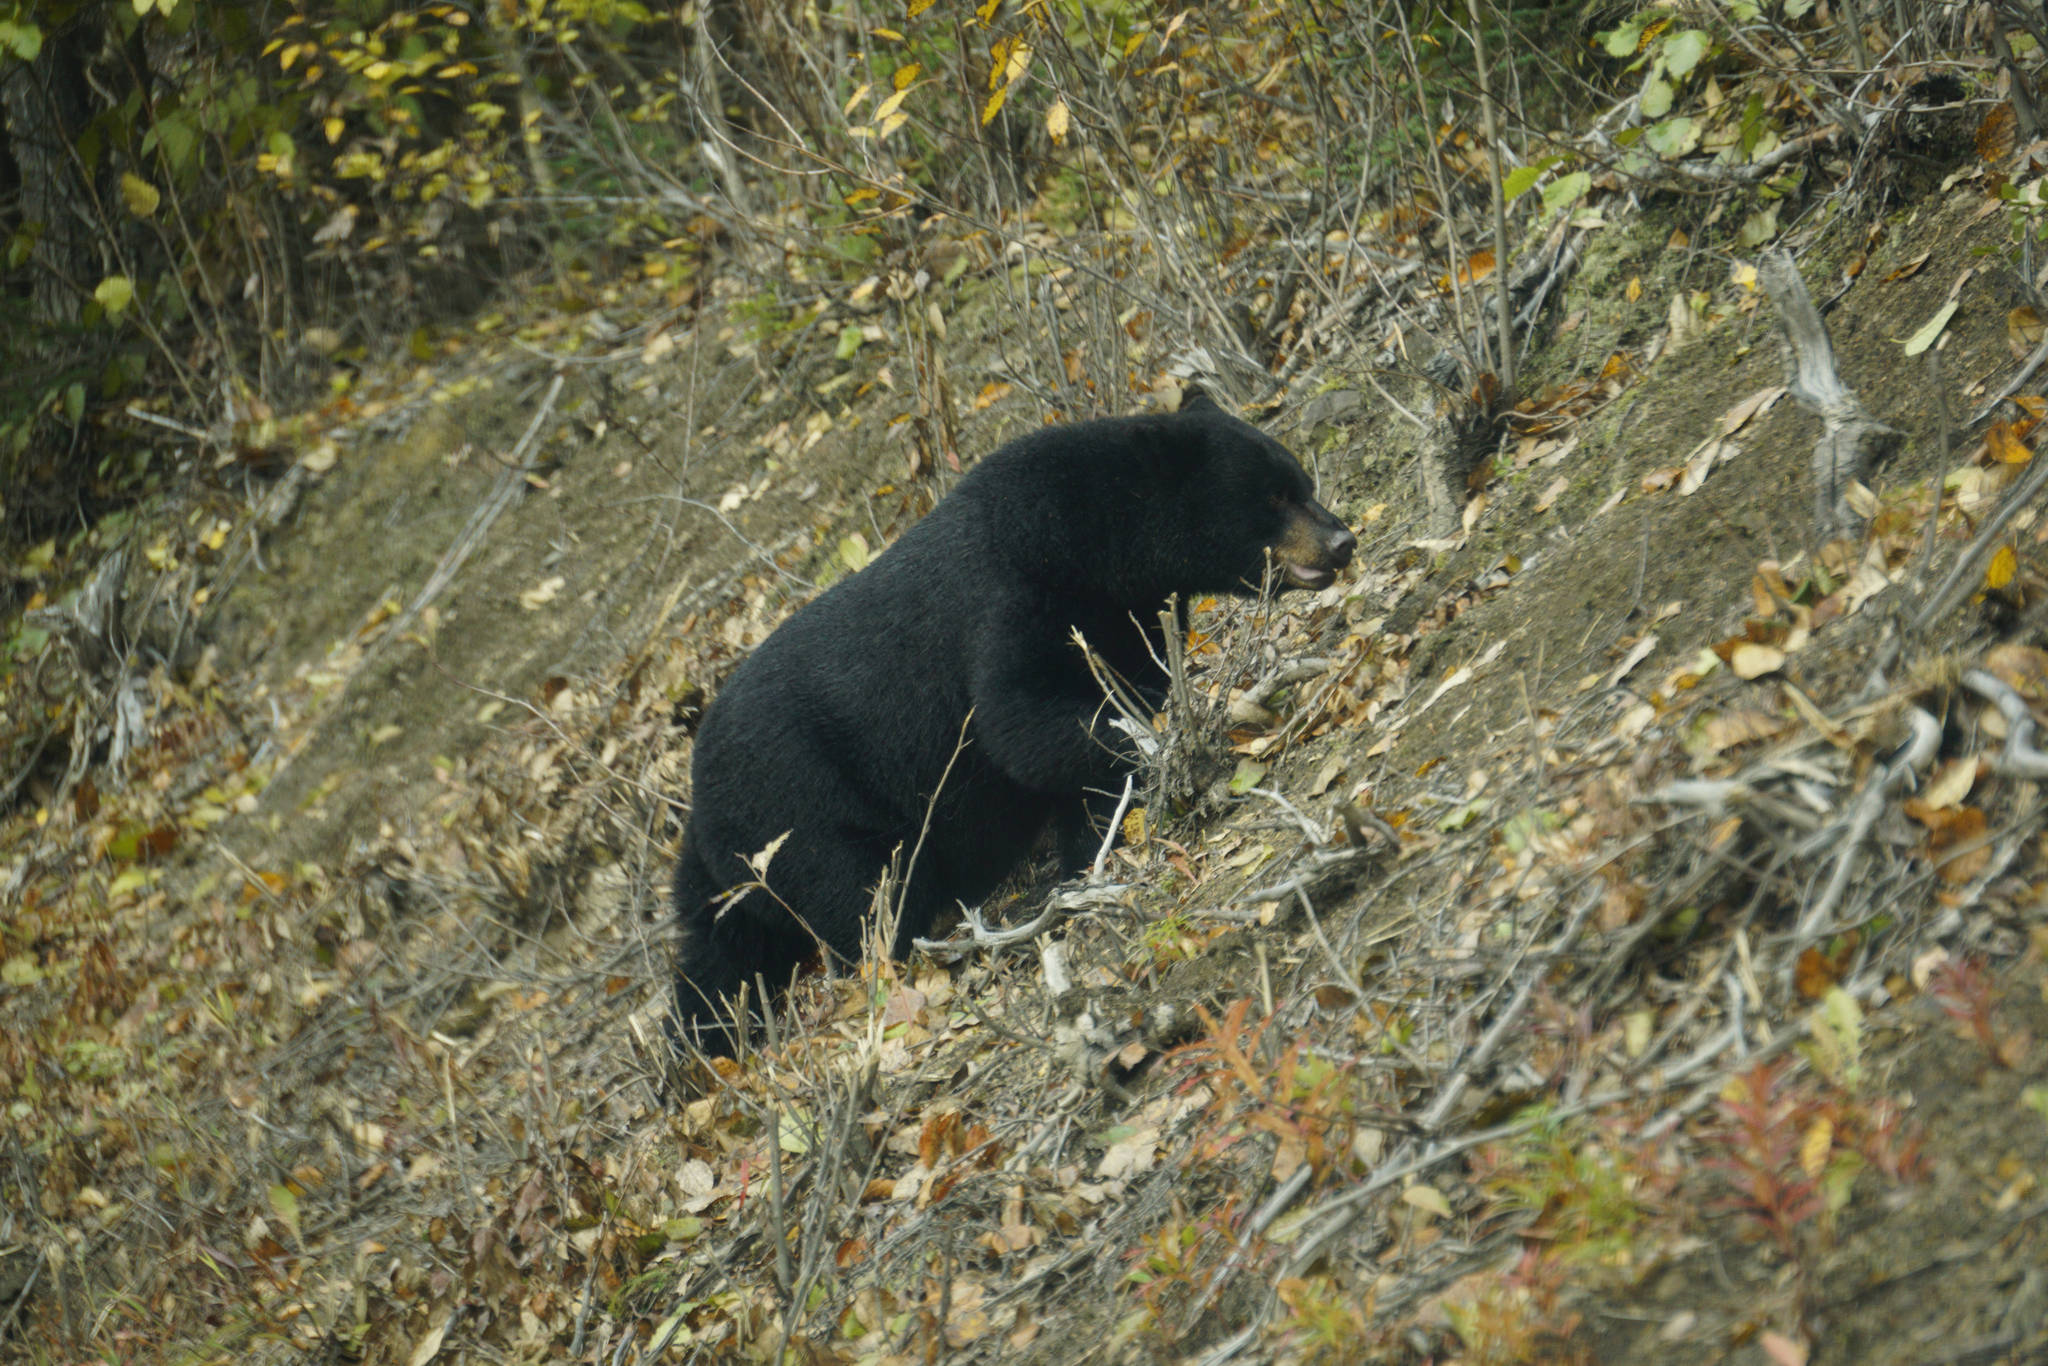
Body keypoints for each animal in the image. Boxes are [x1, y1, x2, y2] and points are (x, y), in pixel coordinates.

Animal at [663, 389, 1351, 1056]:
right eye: (1272, 495)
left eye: (1298, 480)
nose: (1342, 540)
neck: (1093, 544)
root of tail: (699, 811)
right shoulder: (1011, 601)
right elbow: (1022, 726)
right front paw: (1164, 756)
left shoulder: (1122, 619)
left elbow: (1113, 723)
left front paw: (1092, 854)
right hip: (803, 817)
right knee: (867, 898)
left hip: (734, 881)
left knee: (719, 954)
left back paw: (707, 1039)